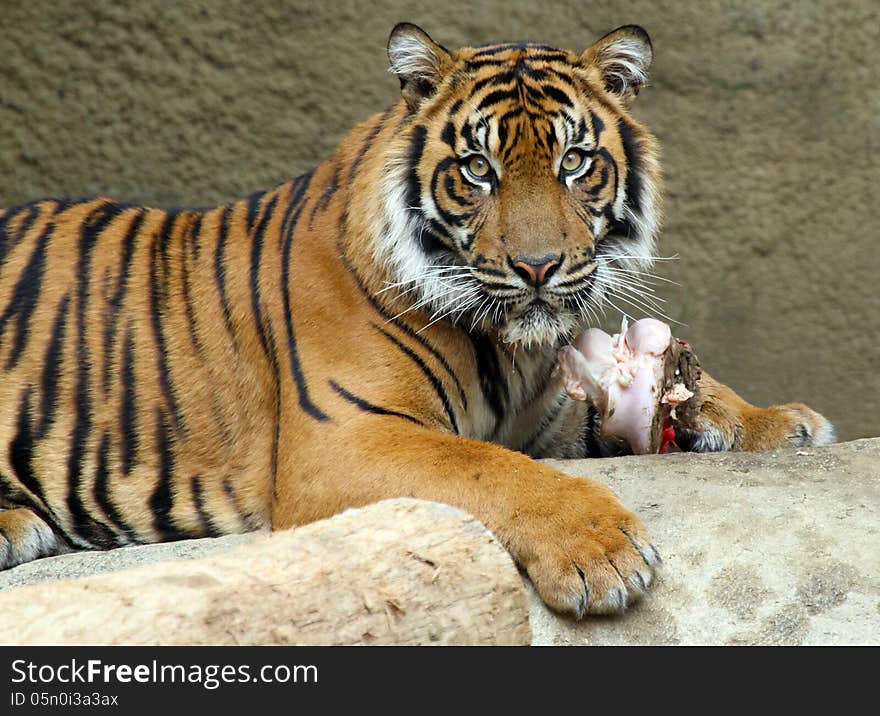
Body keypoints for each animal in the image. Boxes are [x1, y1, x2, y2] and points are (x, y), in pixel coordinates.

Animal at [0, 22, 832, 616]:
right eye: (477, 170)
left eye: (572, 163)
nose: (538, 267)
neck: (510, 348)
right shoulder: (344, 439)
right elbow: (484, 465)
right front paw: (601, 553)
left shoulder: (554, 414)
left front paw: (775, 421)